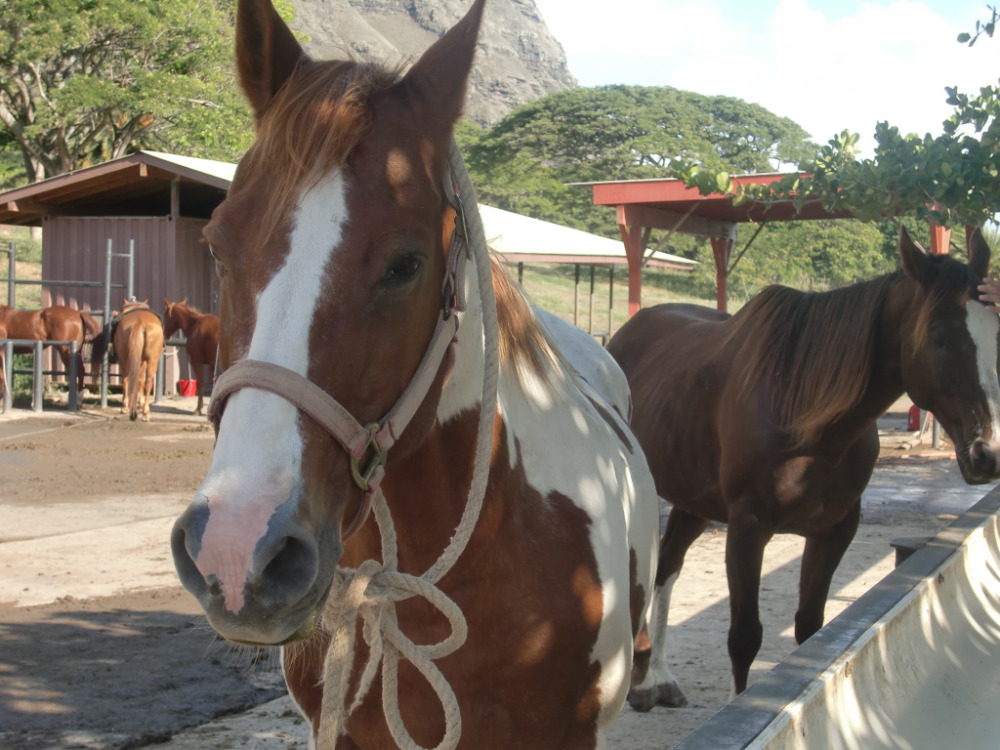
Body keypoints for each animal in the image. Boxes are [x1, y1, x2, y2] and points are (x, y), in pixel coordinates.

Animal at [606, 226, 1000, 706]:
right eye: (940, 336)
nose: (988, 452)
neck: (806, 414)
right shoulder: (748, 528)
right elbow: (744, 637)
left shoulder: (834, 529)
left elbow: (811, 629)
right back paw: (641, 679)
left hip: (693, 500)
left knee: (667, 566)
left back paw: (656, 678)